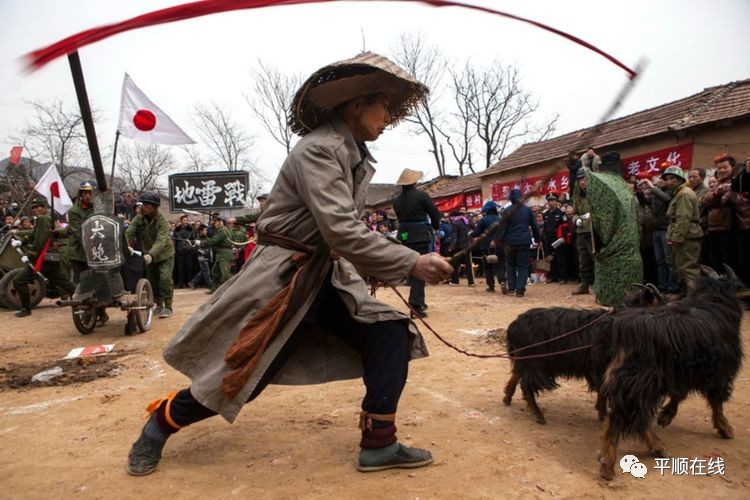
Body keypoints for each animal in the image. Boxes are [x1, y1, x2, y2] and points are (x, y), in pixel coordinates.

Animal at [506, 284, 664, 424]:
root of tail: (514, 325)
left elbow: (602, 389)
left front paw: (601, 411)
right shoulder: (601, 366)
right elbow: (603, 389)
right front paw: (602, 412)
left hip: (526, 359)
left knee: (517, 373)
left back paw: (507, 397)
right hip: (535, 363)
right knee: (526, 385)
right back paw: (538, 415)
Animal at [596, 266, 748, 480]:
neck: (712, 303)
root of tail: (621, 330)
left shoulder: (681, 372)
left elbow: (678, 395)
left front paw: (665, 416)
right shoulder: (718, 372)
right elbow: (716, 402)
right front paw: (725, 428)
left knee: (630, 416)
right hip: (640, 382)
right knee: (626, 417)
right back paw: (612, 464)